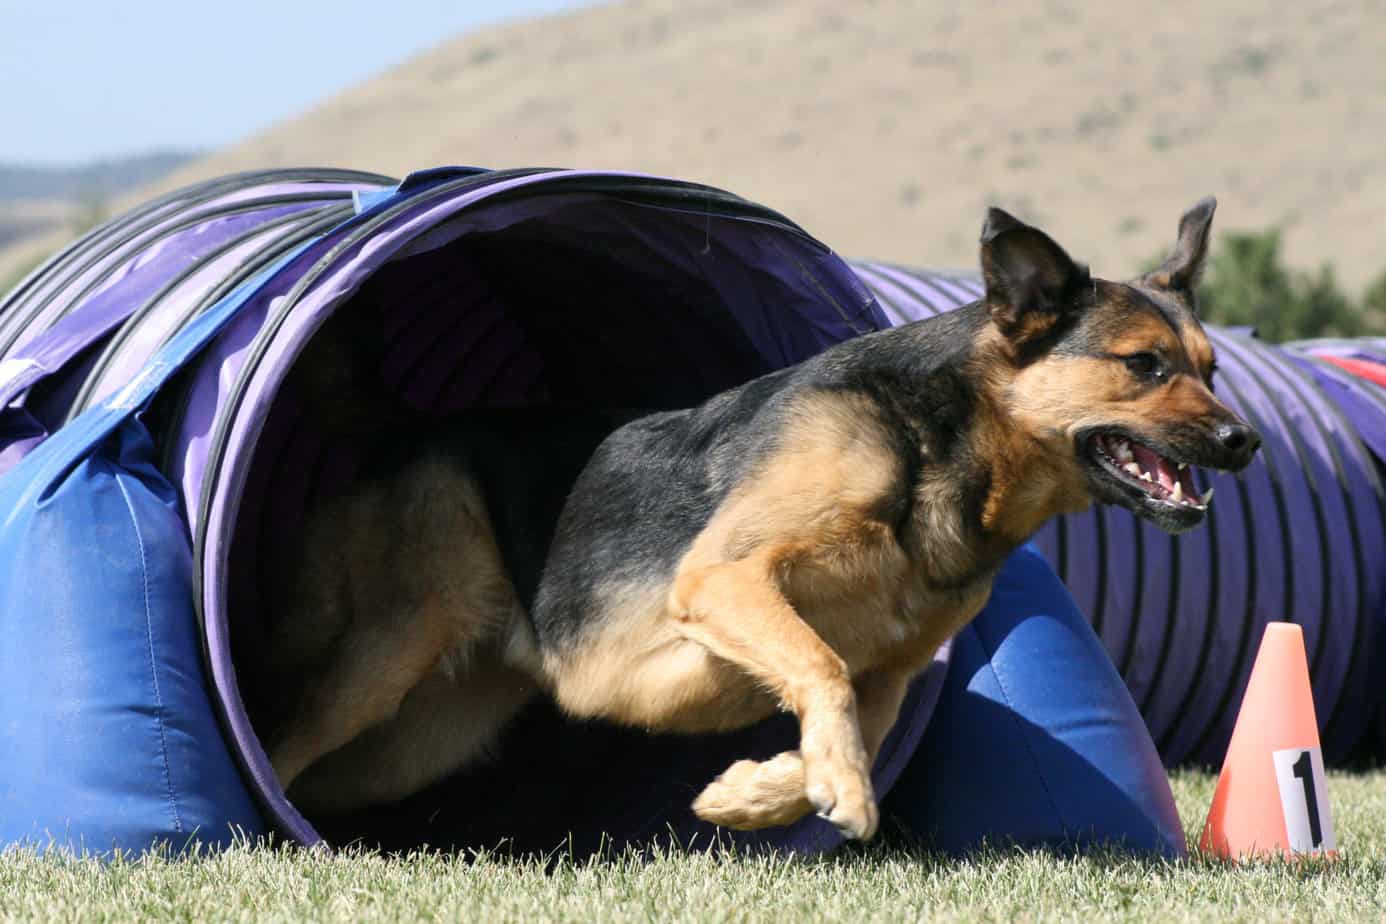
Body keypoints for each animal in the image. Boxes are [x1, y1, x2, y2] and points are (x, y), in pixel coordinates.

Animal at [246, 199, 1258, 842]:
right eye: (1143, 365)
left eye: (1210, 368)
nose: (1245, 441)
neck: (938, 449)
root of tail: (411, 426)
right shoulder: (726, 581)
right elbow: (818, 668)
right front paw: (833, 793)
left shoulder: (890, 672)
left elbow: (851, 723)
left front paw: (755, 798)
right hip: (388, 659)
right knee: (289, 738)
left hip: (423, 735)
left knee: (331, 769)